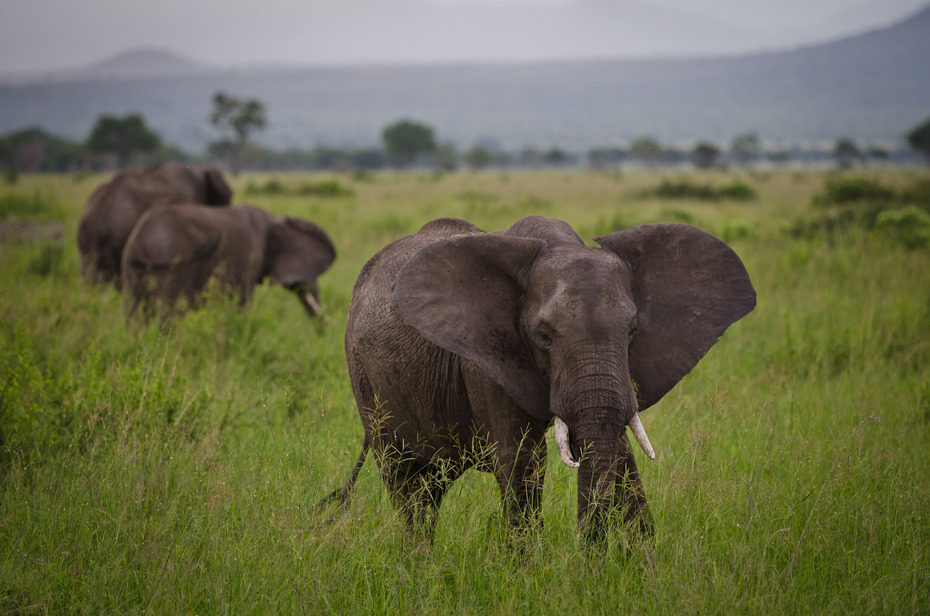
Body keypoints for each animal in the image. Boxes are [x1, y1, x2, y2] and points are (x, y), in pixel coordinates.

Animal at [121, 203, 336, 320]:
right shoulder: (247, 259)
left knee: (134, 314)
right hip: (171, 262)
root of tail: (139, 238)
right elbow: (241, 302)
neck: (274, 221)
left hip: (132, 269)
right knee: (170, 312)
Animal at [320, 215, 752, 540]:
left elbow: (620, 451)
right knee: (407, 485)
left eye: (631, 331)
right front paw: (526, 576)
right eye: (544, 336)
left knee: (430, 487)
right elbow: (522, 464)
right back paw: (416, 569)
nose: (586, 556)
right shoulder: (485, 359)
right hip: (366, 381)